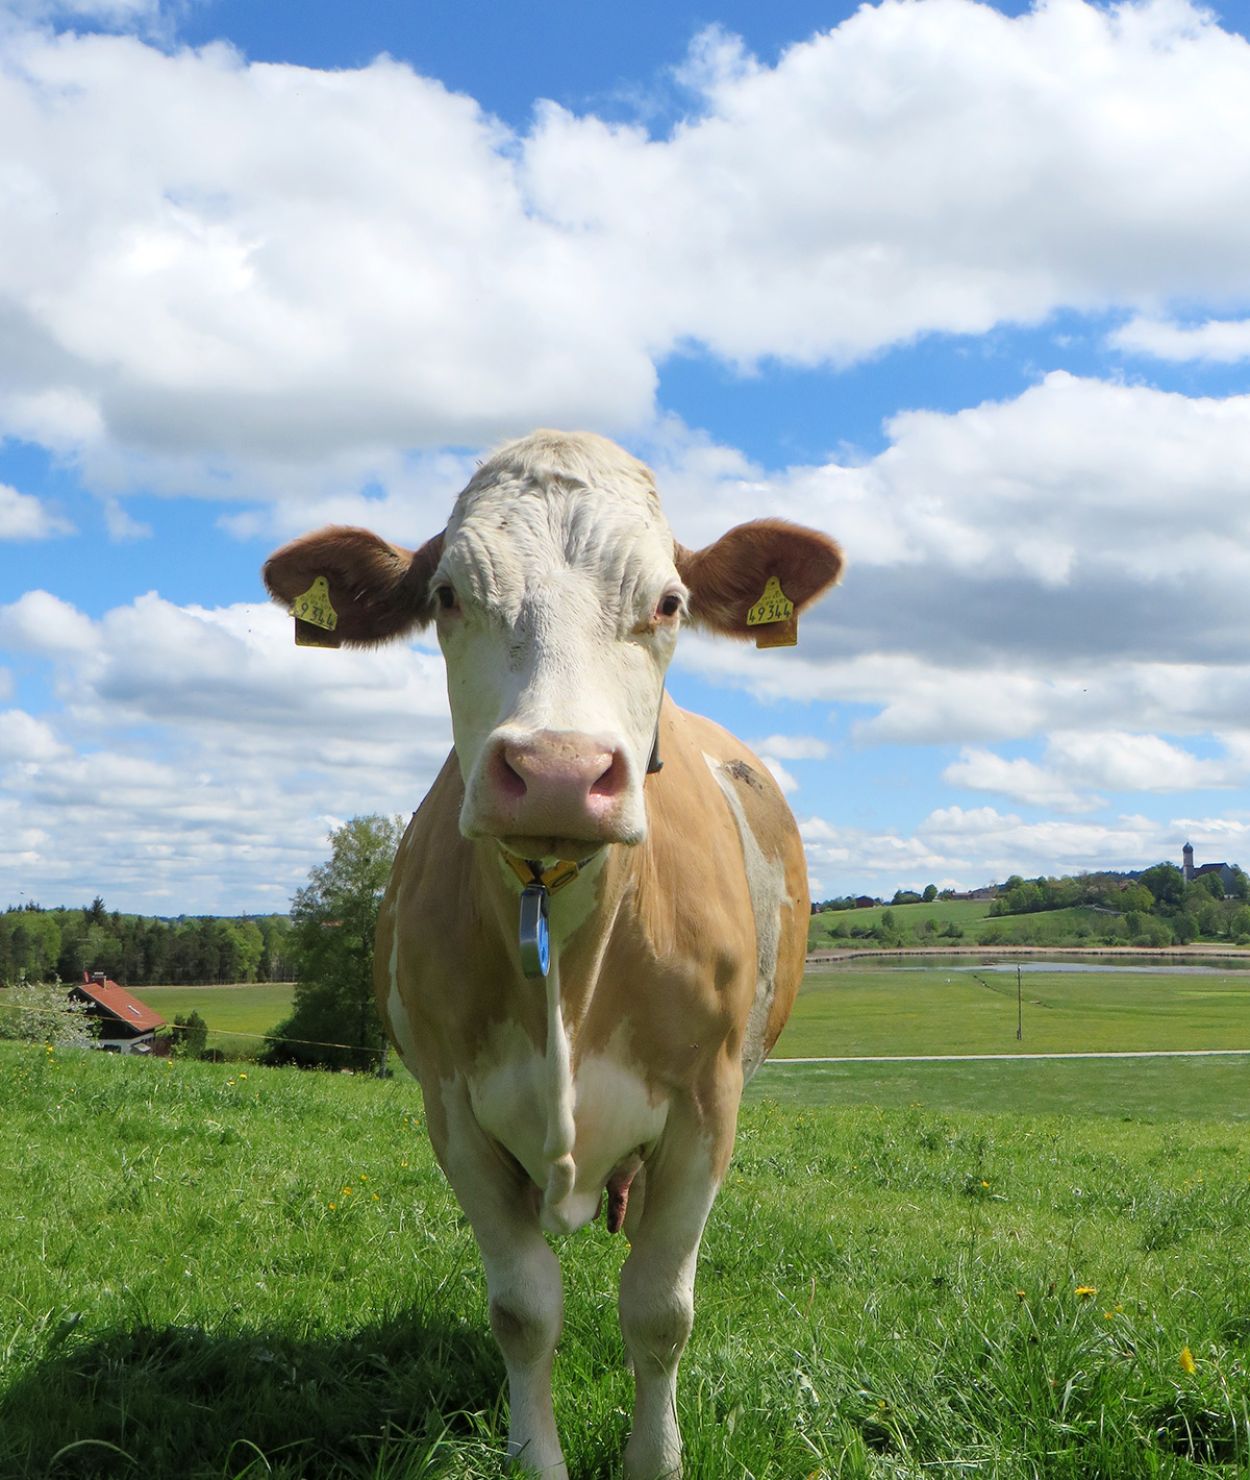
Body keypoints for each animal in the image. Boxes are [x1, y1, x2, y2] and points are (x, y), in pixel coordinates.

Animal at [263, 430, 842, 1478]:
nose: (559, 772)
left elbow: (659, 1311)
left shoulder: (708, 1107)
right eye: (447, 595)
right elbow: (524, 1310)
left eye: (669, 602)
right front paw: (536, 1452)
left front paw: (656, 1457)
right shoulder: (452, 1108)